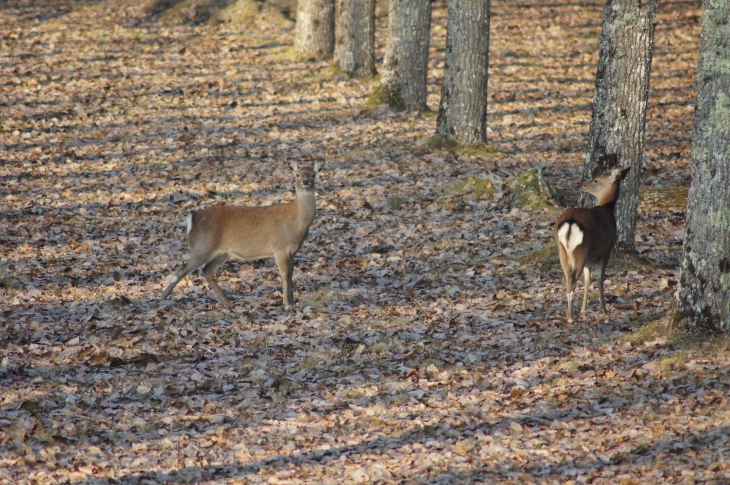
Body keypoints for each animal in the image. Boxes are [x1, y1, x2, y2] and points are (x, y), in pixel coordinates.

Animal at [161, 162, 322, 306]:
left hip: (221, 253)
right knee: (183, 268)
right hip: (202, 246)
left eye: (313, 174)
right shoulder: (279, 248)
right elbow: (285, 275)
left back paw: (227, 302)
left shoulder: (293, 251)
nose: (306, 181)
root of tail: (192, 218)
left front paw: (293, 302)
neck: (297, 220)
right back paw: (162, 298)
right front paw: (287, 304)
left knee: (206, 270)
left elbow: (291, 274)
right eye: (297, 174)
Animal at [556, 164, 628, 324]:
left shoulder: (590, 258)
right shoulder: (607, 250)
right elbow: (600, 278)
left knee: (567, 278)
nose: (582, 184)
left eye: (596, 180)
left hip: (563, 250)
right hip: (581, 248)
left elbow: (588, 279)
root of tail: (570, 222)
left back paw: (570, 314)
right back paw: (571, 318)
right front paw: (603, 309)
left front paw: (583, 310)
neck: (607, 208)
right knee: (572, 279)